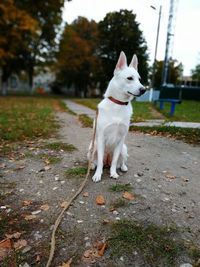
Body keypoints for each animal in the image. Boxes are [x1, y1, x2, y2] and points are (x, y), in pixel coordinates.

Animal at [87, 51, 145, 183]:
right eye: (130, 78)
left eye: (139, 79)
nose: (144, 89)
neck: (119, 104)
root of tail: (106, 161)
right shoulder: (101, 139)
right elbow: (100, 163)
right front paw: (98, 175)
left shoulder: (120, 140)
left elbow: (114, 162)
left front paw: (113, 173)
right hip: (93, 146)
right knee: (96, 161)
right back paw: (92, 165)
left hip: (124, 148)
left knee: (120, 161)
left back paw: (123, 167)